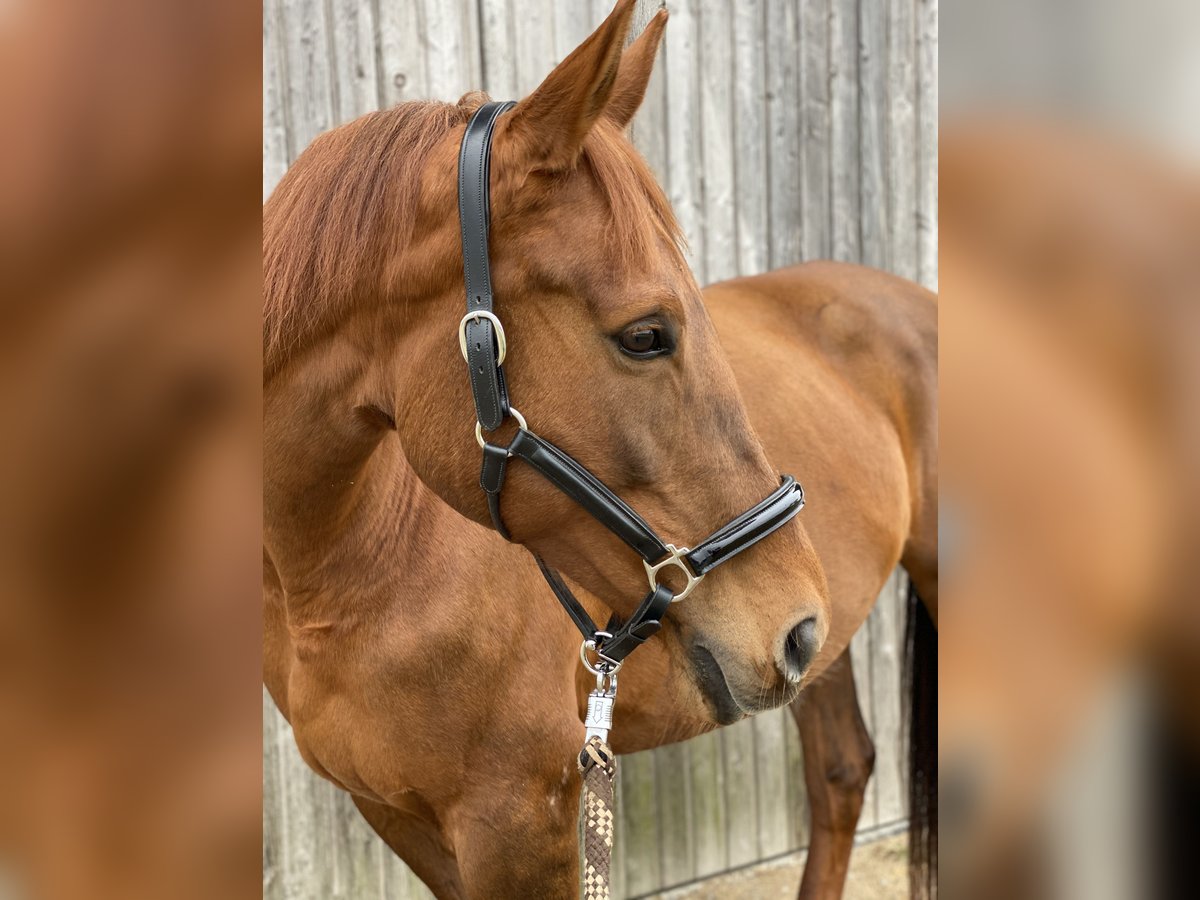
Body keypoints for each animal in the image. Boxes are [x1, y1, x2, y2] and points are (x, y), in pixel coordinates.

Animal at [262, 3, 936, 897]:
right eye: (646, 334)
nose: (796, 626)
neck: (349, 566)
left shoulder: (522, 824)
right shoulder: (401, 817)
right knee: (841, 774)